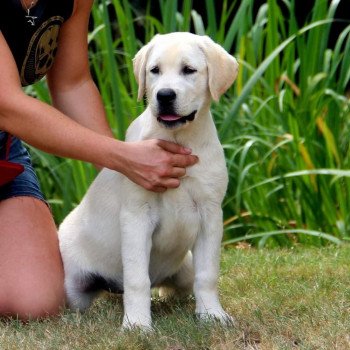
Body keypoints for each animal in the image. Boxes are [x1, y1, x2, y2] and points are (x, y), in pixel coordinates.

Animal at [58, 31, 239, 330]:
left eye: (188, 70)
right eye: (155, 70)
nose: (164, 95)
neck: (178, 139)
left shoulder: (210, 214)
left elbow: (208, 274)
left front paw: (212, 315)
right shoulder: (137, 216)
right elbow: (137, 279)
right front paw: (137, 325)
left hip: (184, 268)